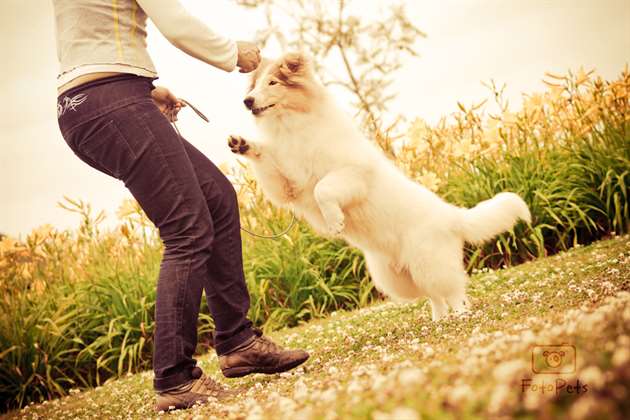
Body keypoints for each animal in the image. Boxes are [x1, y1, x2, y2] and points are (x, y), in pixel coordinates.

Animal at [228, 53, 532, 322]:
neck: (292, 127)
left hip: (430, 261)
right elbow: (268, 159)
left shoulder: (354, 174)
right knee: (434, 295)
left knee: (453, 289)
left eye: (273, 83)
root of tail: (452, 215)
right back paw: (438, 320)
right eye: (254, 86)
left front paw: (335, 221)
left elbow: (323, 189)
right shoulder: (286, 184)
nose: (246, 100)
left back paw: (460, 314)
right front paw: (242, 144)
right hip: (398, 277)